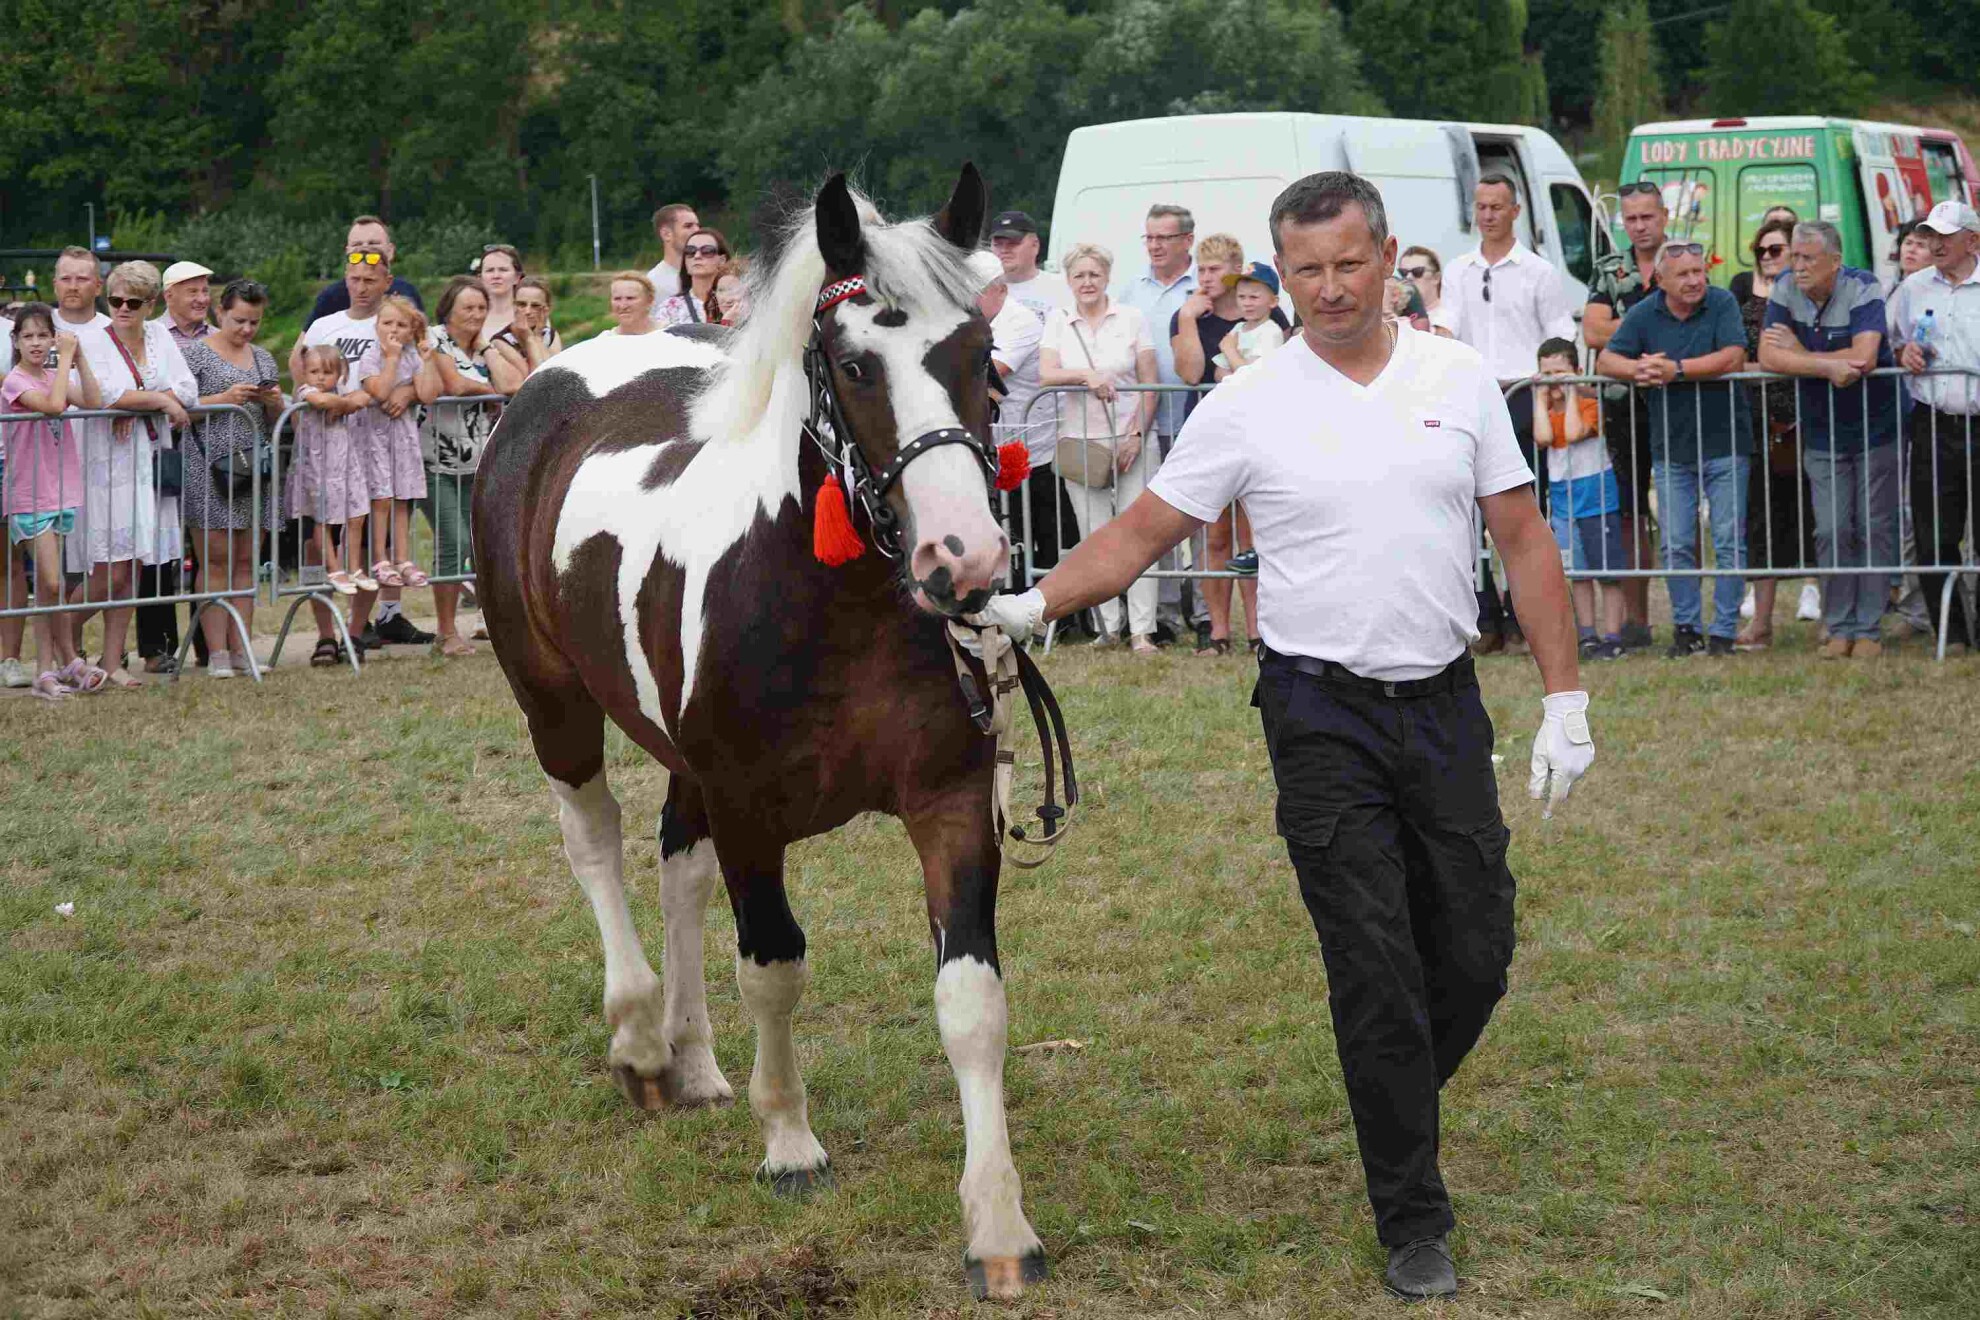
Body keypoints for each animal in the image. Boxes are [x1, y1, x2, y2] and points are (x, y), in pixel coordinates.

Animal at [471, 165, 1049, 1299]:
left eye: (984, 359)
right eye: (856, 365)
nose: (961, 561)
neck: (836, 607)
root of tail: (551, 382)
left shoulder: (951, 801)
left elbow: (971, 1001)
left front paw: (999, 1225)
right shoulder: (748, 810)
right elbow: (773, 966)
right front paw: (790, 1144)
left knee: (677, 868)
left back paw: (695, 1060)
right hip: (553, 705)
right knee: (596, 842)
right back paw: (642, 1043)